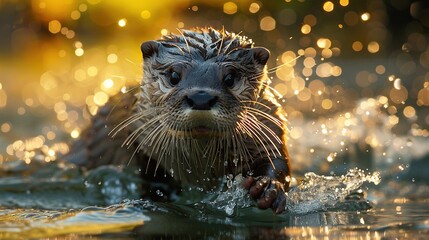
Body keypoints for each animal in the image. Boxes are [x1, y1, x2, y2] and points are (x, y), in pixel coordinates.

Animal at [66, 28, 290, 214]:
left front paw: (266, 188)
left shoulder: (270, 127)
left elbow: (276, 161)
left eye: (230, 78)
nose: (201, 98)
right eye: (174, 75)